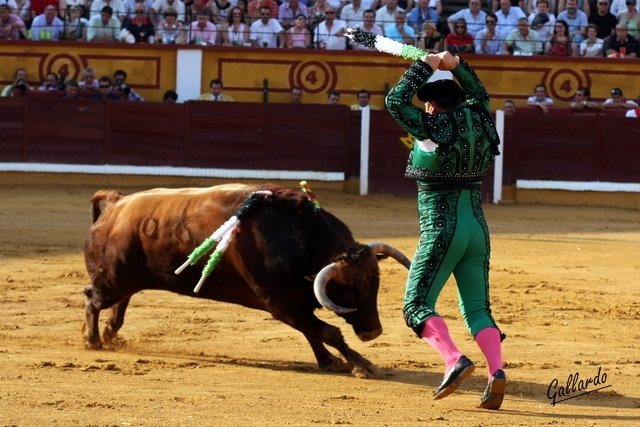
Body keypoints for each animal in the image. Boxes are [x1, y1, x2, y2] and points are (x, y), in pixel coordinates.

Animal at [84, 183, 410, 378]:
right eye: (347, 290)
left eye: (375, 283)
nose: (373, 332)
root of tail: (117, 202)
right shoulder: (280, 303)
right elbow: (327, 332)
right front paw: (362, 364)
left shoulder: (295, 303)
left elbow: (313, 332)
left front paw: (330, 362)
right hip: (110, 279)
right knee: (92, 298)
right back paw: (93, 340)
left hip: (125, 279)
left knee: (121, 300)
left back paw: (111, 334)